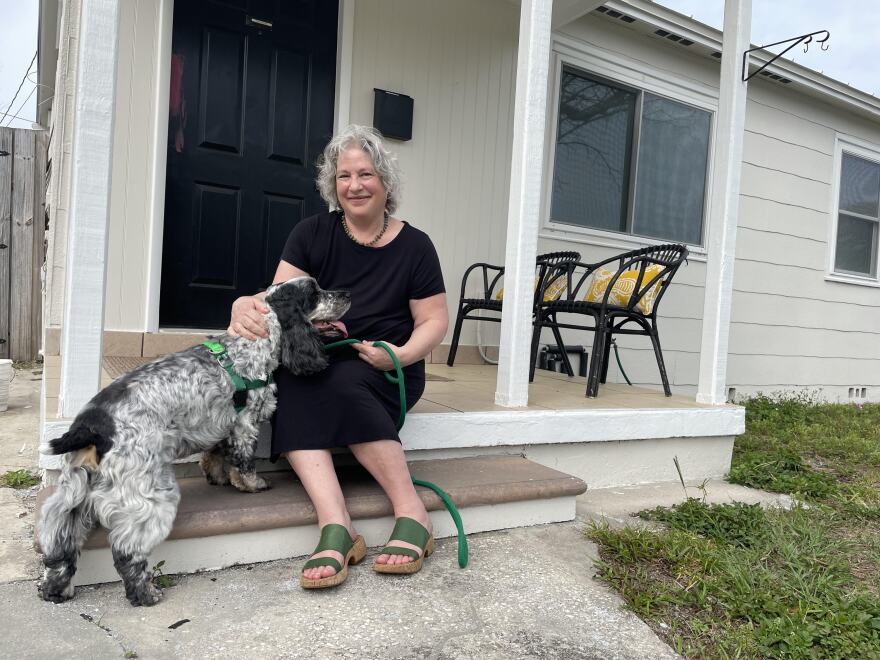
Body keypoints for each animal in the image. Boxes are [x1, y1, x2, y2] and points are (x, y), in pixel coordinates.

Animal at [37, 276, 348, 604]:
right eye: (315, 293)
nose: (346, 294)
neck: (252, 343)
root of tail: (94, 424)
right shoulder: (246, 421)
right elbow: (245, 460)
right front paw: (253, 485)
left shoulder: (222, 420)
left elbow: (217, 453)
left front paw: (217, 477)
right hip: (148, 491)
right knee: (127, 550)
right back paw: (146, 593)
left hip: (74, 491)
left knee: (59, 542)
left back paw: (56, 589)